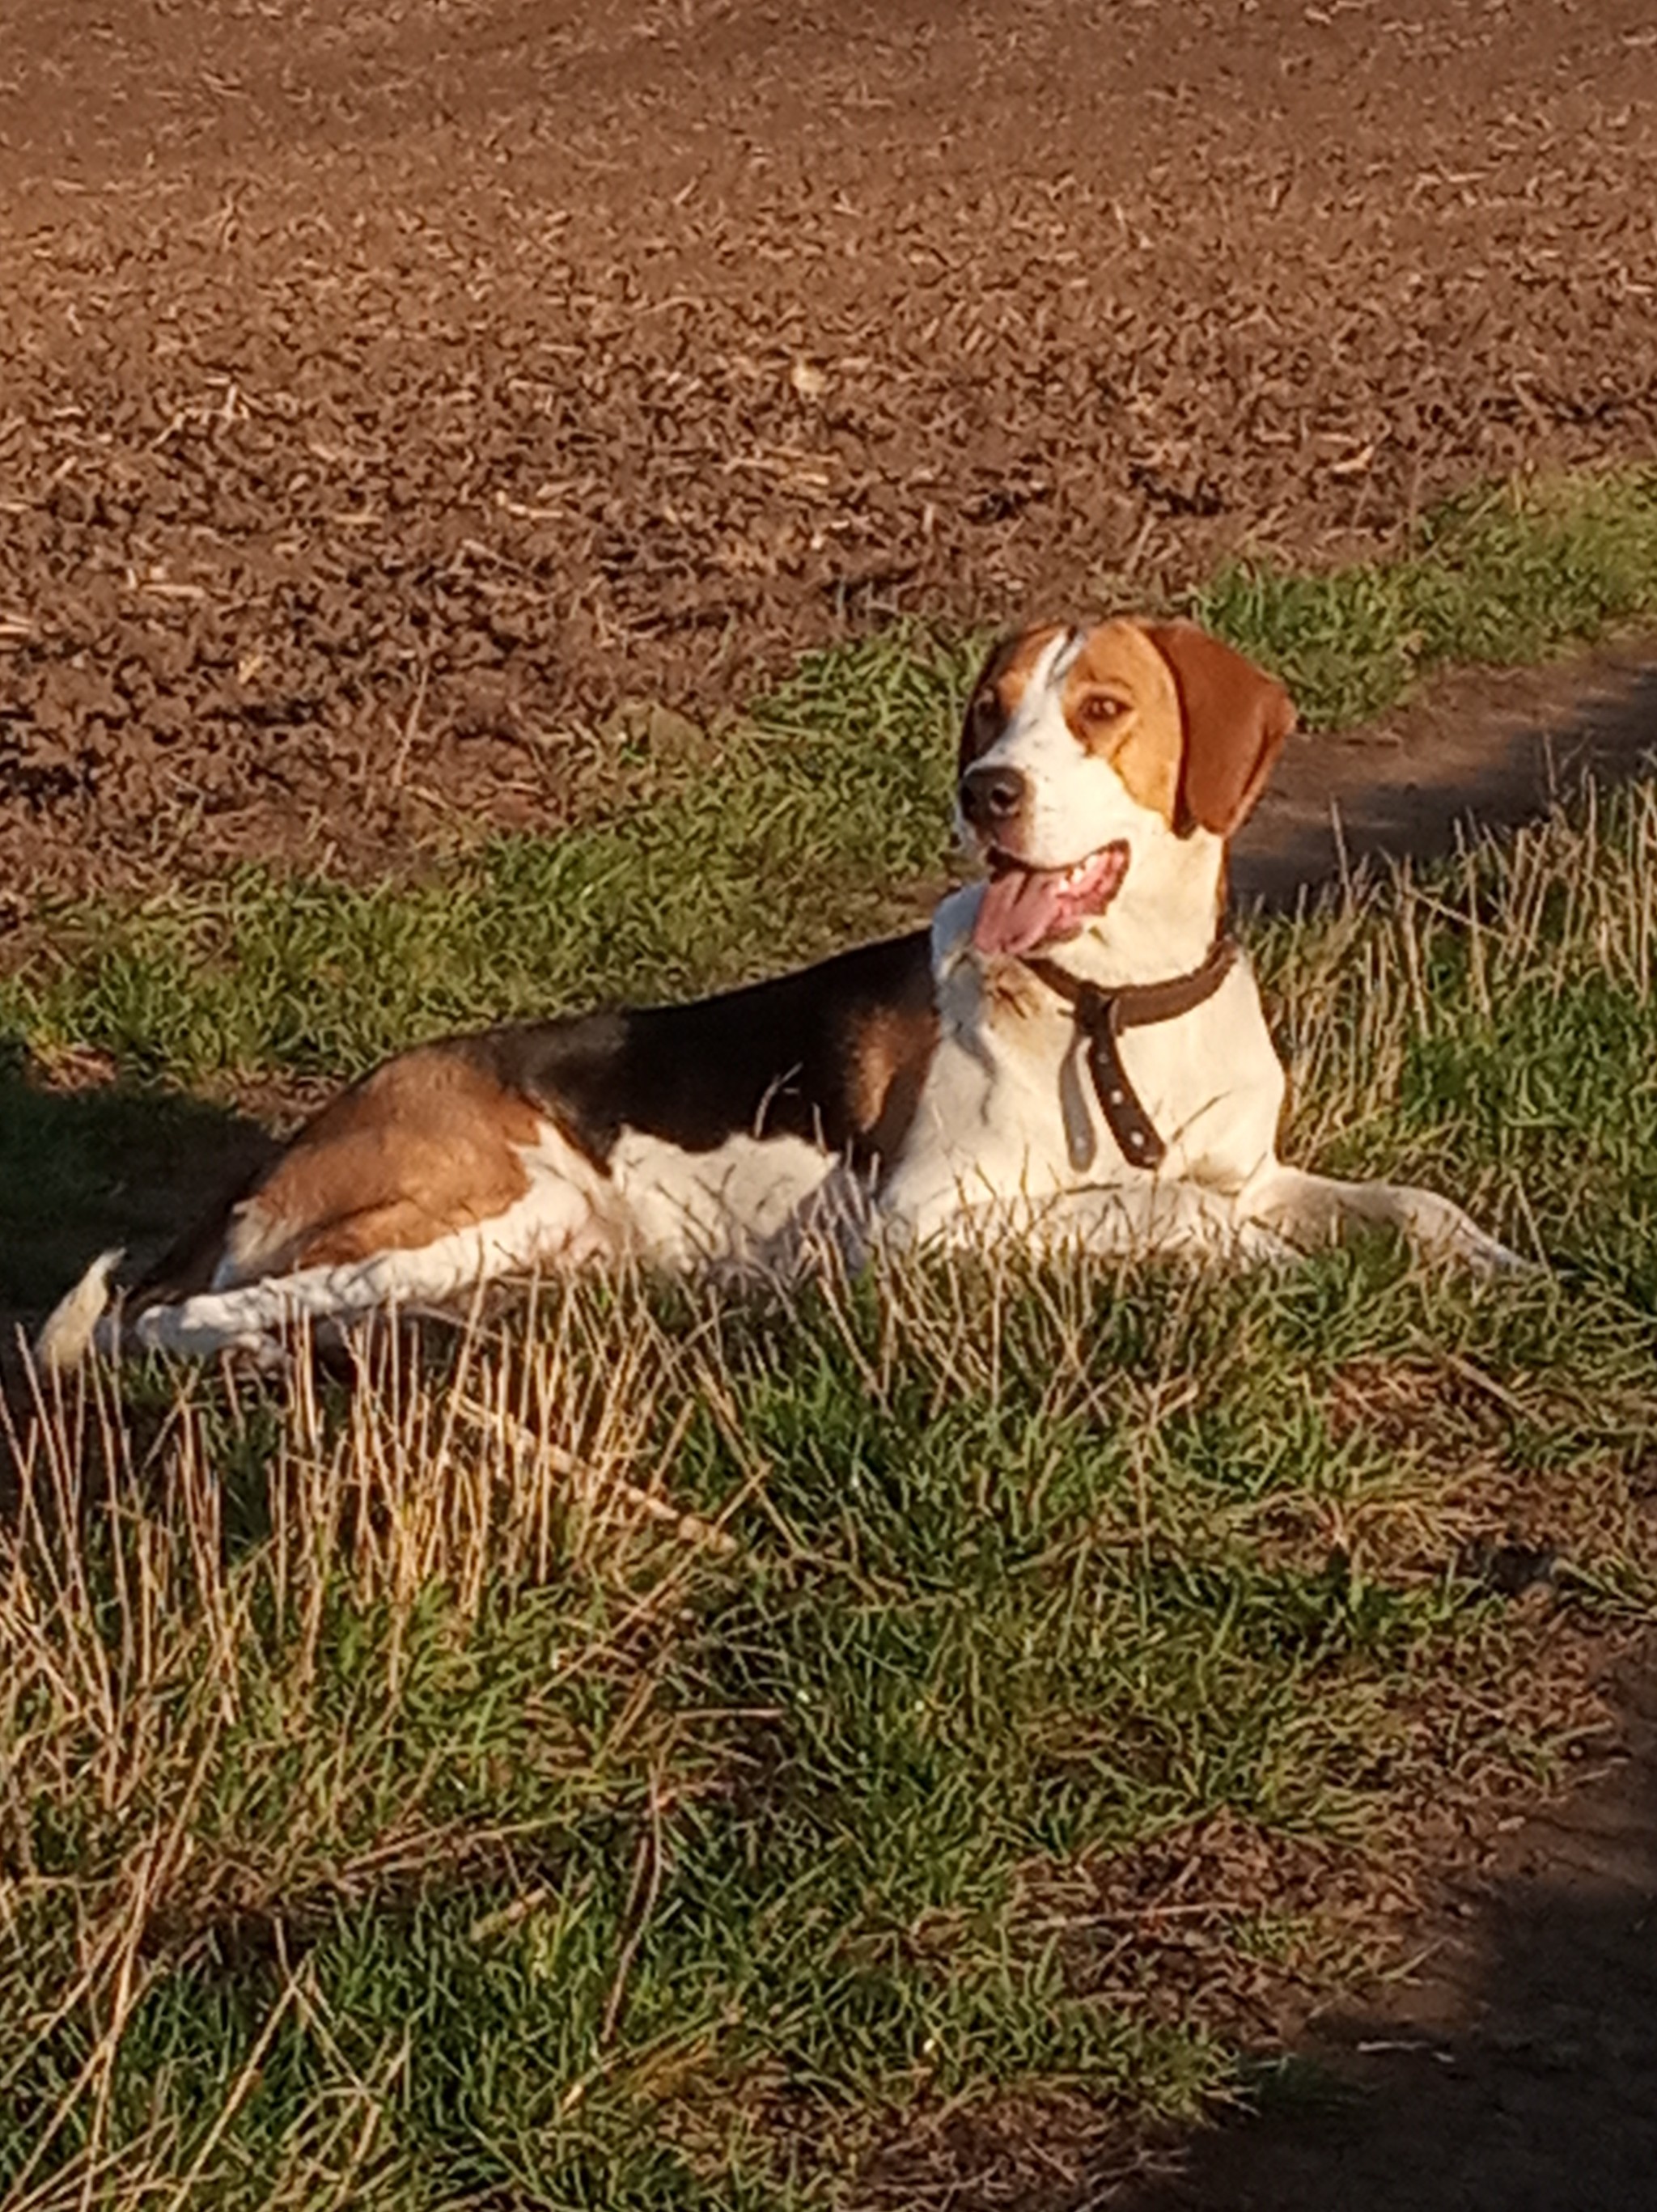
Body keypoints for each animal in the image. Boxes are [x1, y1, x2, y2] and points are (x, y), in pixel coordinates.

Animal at [36, 606, 1513, 1362]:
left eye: (1099, 709)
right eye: (987, 713)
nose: (986, 792)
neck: (1111, 1004)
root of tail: (295, 1137)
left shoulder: (1252, 1165)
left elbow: (1406, 1202)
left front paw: (1497, 1260)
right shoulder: (923, 1226)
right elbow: (1154, 1213)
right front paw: (1251, 1258)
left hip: (538, 1236)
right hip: (492, 1199)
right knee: (178, 1314)